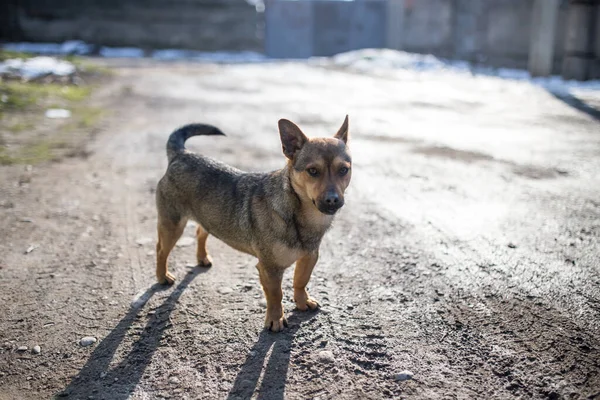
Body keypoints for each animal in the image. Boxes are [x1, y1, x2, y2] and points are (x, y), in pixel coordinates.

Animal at [155, 115, 352, 332]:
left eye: (344, 170)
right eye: (313, 171)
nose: (332, 200)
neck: (300, 213)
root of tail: (181, 154)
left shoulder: (309, 256)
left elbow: (301, 280)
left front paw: (302, 302)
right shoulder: (270, 268)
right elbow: (275, 295)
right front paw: (275, 319)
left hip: (207, 218)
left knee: (201, 232)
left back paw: (202, 258)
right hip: (172, 225)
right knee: (161, 250)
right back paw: (162, 276)